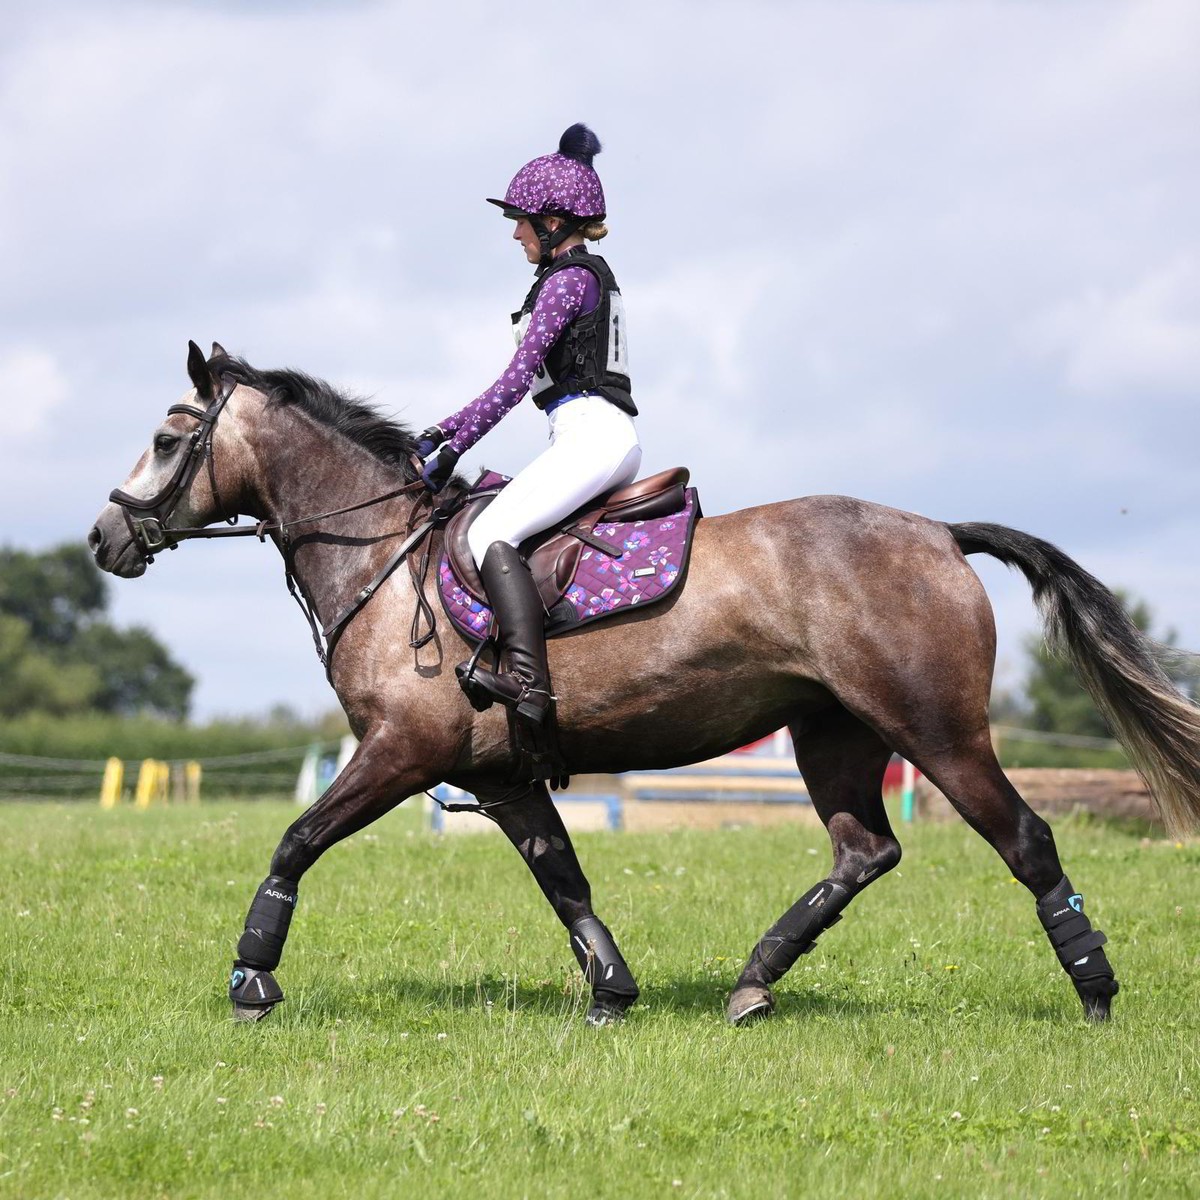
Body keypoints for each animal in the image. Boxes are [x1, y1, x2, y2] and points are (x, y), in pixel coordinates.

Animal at [89, 342, 1200, 1026]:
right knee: (865, 851)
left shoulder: (402, 750)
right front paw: (614, 994)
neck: (386, 555)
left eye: (169, 437)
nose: (105, 538)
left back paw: (1095, 991)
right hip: (834, 733)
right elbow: (565, 880)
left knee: (1025, 840)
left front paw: (251, 978)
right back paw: (753, 983)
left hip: (938, 733)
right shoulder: (497, 777)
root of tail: (937, 532)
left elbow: (296, 841)